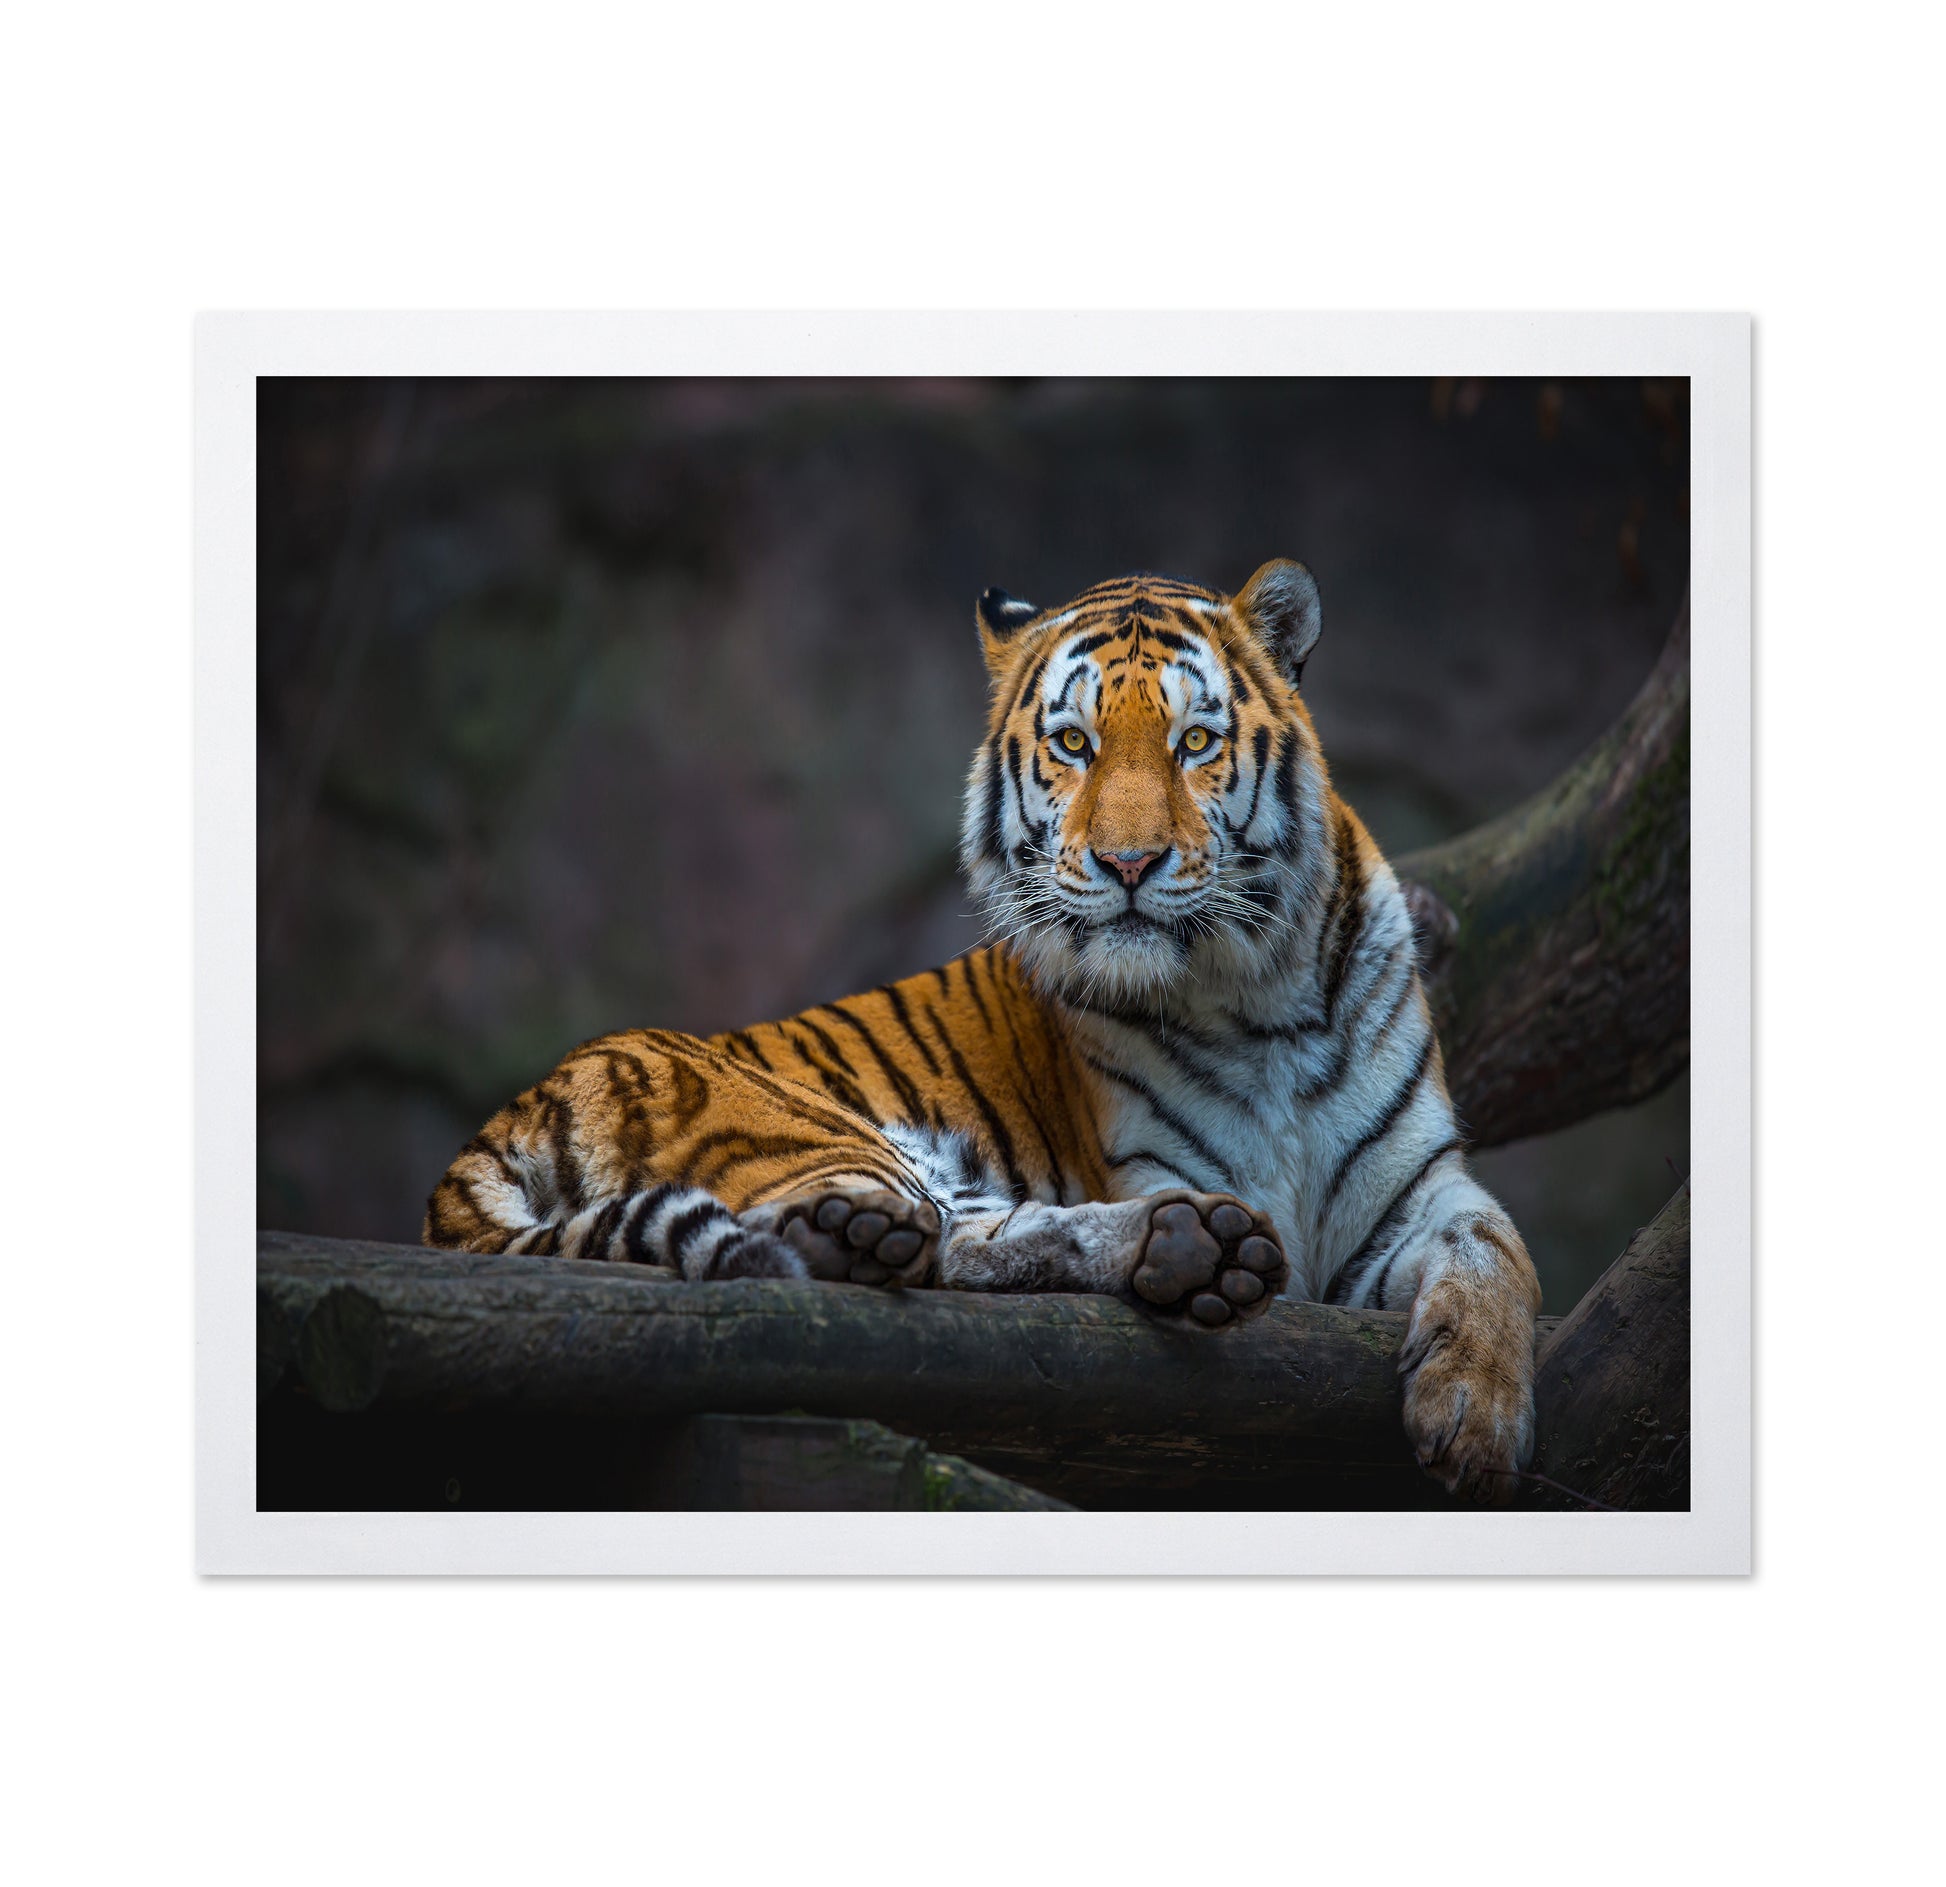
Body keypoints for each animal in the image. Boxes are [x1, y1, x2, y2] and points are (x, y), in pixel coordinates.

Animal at [425, 561, 1542, 1498]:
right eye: (1073, 744)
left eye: (1194, 742)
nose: (1128, 863)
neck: (1259, 998)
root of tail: (515, 1111)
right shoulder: (1161, 1160)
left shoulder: (1415, 1193)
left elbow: (1499, 1250)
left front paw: (1476, 1419)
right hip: (813, 1126)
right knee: (892, 1243)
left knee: (980, 1237)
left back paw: (1189, 1249)